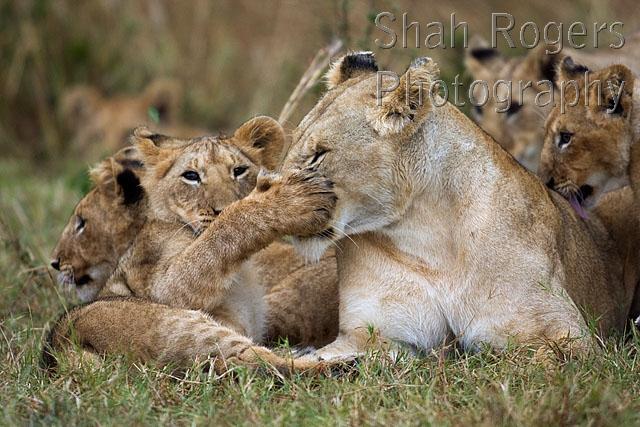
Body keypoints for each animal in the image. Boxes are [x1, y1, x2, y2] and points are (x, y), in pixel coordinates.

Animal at [264, 52, 638, 363]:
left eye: (318, 154)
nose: (271, 193)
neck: (426, 235)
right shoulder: (369, 335)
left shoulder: (567, 333)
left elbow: (537, 360)